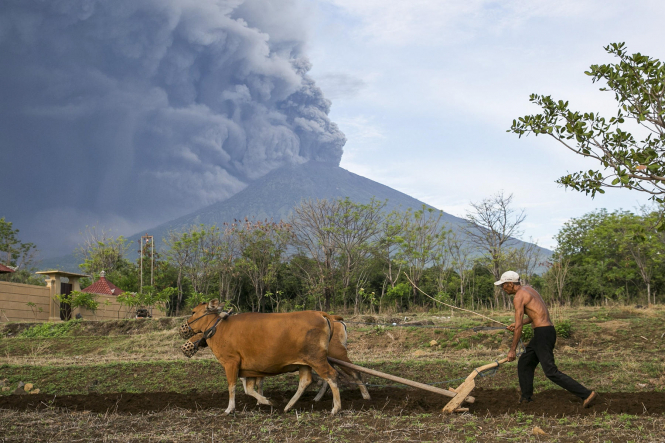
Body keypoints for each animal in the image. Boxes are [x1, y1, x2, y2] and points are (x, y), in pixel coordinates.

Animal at [185, 302, 344, 416]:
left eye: (193, 312)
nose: (185, 326)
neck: (220, 328)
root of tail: (320, 313)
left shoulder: (231, 363)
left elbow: (232, 387)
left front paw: (229, 409)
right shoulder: (248, 369)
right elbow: (249, 390)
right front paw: (267, 401)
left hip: (317, 359)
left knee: (331, 376)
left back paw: (335, 408)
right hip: (305, 362)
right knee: (305, 381)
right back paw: (288, 406)